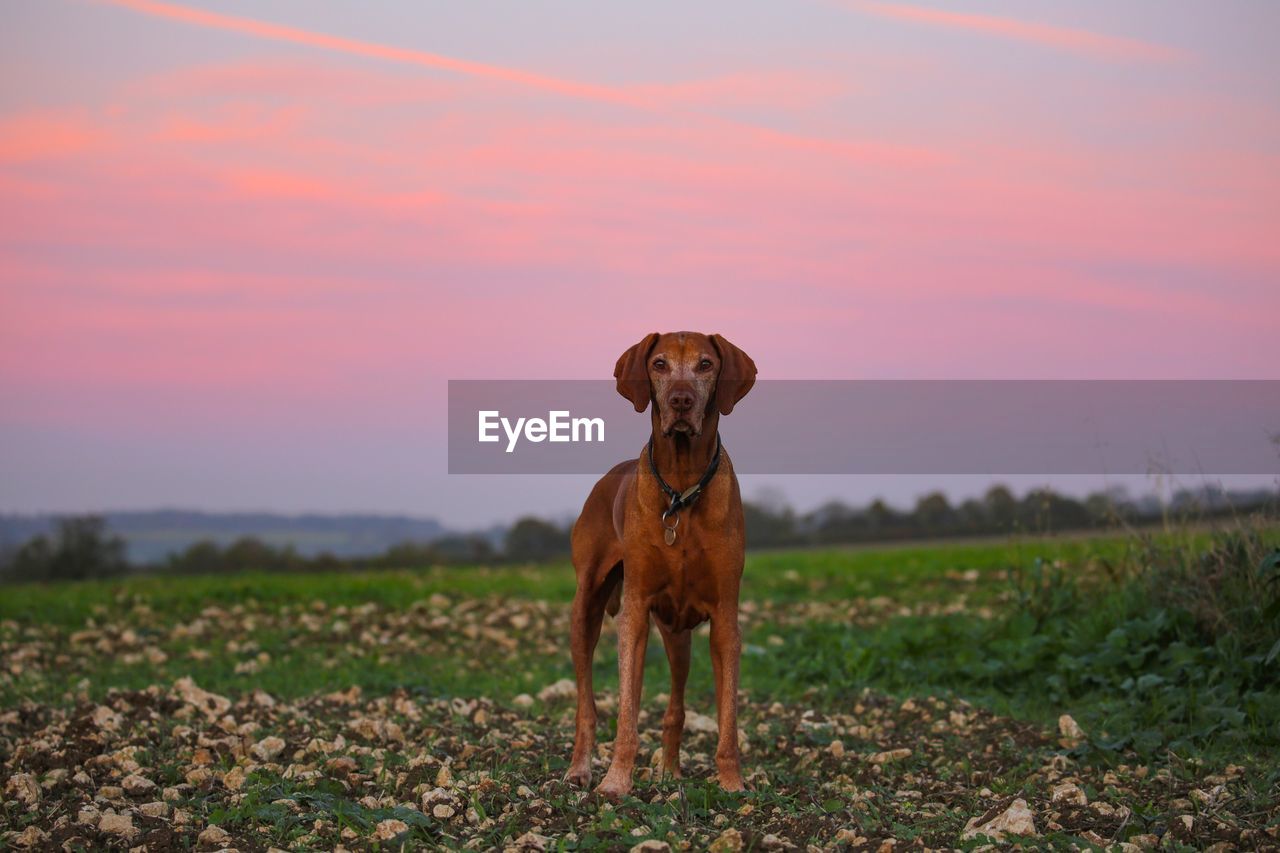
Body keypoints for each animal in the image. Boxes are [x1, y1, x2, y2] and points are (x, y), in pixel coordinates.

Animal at [565, 330, 752, 799]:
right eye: (660, 364)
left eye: (705, 364)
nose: (681, 400)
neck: (681, 489)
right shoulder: (634, 611)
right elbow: (627, 714)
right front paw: (616, 781)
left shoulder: (726, 617)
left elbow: (727, 718)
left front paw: (732, 782)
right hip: (586, 609)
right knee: (586, 706)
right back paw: (579, 769)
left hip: (677, 635)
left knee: (675, 708)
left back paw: (670, 771)